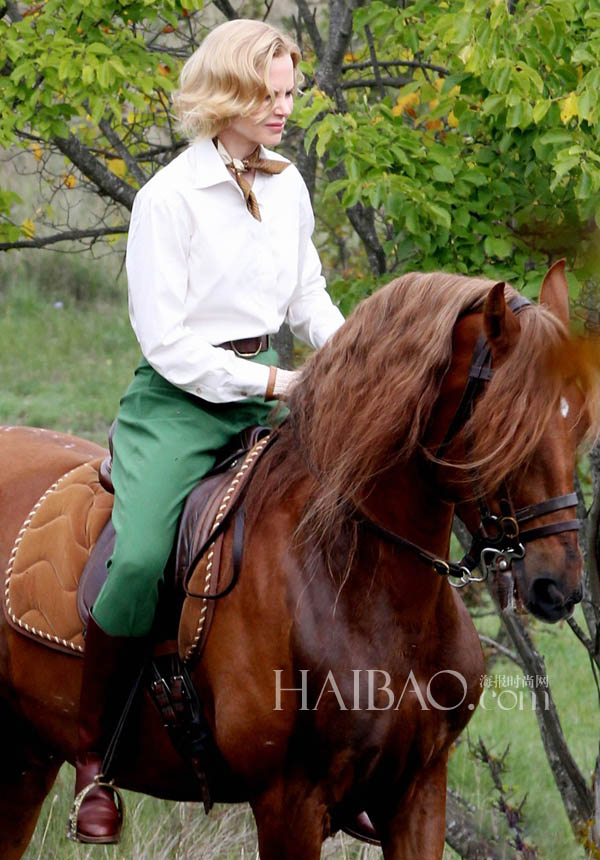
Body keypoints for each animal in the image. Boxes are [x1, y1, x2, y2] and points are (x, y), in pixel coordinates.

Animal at [2, 266, 596, 856]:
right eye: (509, 427)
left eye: (577, 424)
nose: (559, 585)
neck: (362, 584)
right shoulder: (289, 803)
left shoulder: (419, 789)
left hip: (29, 757)